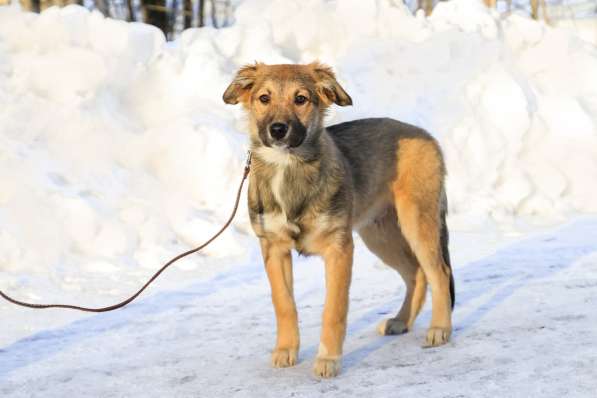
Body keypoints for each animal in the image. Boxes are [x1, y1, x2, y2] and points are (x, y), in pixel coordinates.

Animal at [222, 61, 452, 376]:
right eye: (264, 98)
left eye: (301, 99)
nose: (278, 130)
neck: (288, 168)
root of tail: (426, 135)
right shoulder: (274, 248)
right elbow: (284, 304)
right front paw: (286, 350)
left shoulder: (339, 248)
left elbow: (333, 309)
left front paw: (328, 359)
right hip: (380, 235)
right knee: (415, 273)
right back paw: (401, 321)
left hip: (417, 221)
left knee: (439, 272)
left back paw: (440, 328)